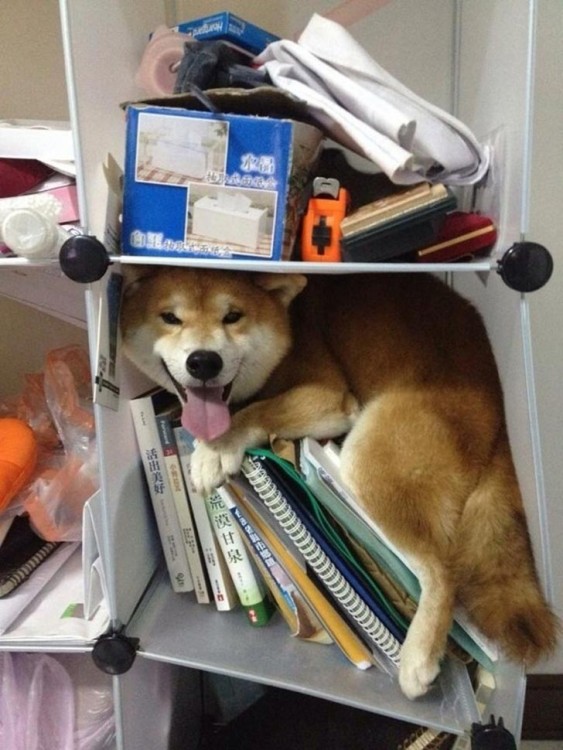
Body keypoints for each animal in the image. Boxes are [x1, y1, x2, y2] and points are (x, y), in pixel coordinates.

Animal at [121, 268, 556, 704]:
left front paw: (215, 449)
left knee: (442, 571)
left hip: (370, 459)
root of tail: (499, 420)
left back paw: (418, 658)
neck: (289, 328)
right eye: (170, 318)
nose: (204, 361)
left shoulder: (326, 396)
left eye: (233, 317)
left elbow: (258, 410)